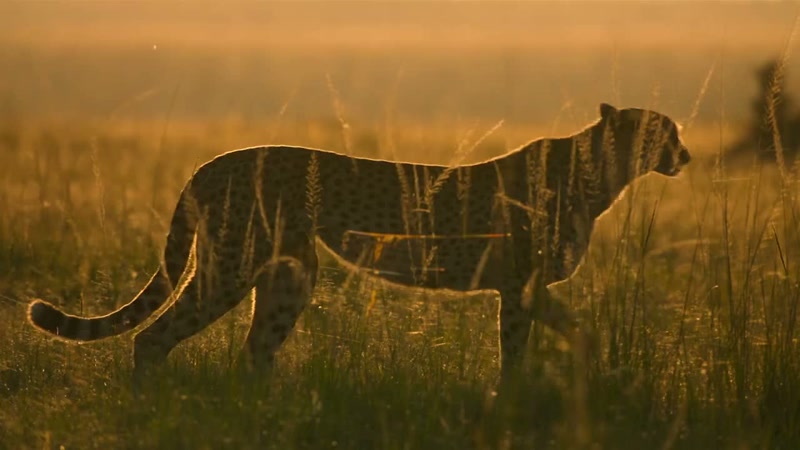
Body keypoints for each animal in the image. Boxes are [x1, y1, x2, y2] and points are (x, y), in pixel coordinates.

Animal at [28, 103, 691, 380]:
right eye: (665, 133)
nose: (685, 155)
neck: (601, 170)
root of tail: (213, 161)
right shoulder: (518, 285)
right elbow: (517, 353)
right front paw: (513, 398)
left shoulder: (526, 287)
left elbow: (580, 334)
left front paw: (593, 372)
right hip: (231, 269)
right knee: (152, 337)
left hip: (290, 275)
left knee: (255, 351)